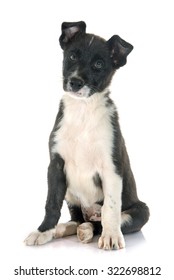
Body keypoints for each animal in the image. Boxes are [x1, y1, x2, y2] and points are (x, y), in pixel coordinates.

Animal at [24, 20, 150, 250]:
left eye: (99, 64)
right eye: (72, 56)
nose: (75, 82)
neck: (83, 111)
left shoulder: (112, 167)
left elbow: (111, 207)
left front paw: (111, 236)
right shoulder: (56, 165)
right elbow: (51, 203)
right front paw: (43, 231)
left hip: (142, 210)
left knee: (100, 221)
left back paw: (91, 231)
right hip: (71, 194)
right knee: (77, 220)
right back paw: (63, 229)